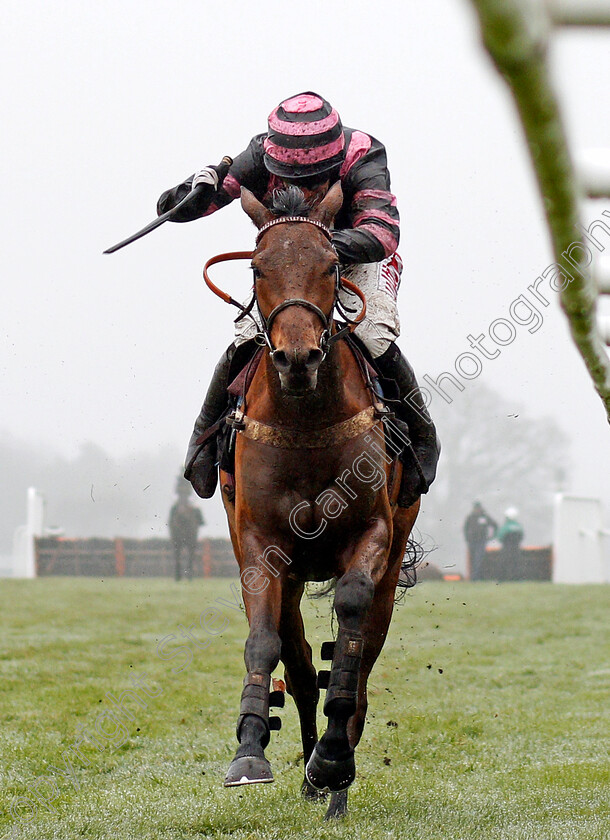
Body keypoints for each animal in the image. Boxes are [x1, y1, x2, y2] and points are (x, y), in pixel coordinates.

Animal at [216, 184, 420, 820]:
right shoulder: (259, 546)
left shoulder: (372, 533)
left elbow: (350, 634)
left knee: (362, 658)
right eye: (257, 267)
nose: (298, 358)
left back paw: (333, 778)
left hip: (391, 563)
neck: (306, 421)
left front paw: (332, 762)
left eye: (331, 265)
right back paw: (307, 772)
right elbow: (267, 642)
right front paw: (249, 752)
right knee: (301, 662)